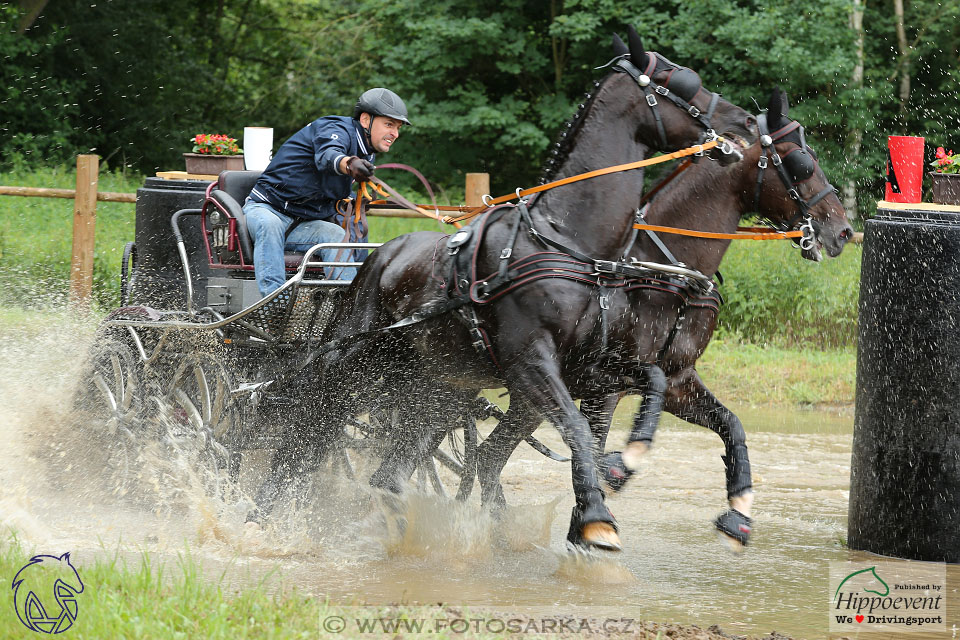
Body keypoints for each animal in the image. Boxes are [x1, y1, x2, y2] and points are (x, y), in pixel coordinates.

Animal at [251, 27, 760, 552]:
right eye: (681, 80)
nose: (745, 122)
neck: (566, 238)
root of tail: (377, 258)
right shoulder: (533, 361)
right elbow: (577, 428)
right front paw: (599, 516)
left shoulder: (593, 366)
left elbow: (647, 390)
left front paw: (618, 475)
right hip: (355, 362)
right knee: (314, 417)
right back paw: (266, 509)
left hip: (426, 385)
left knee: (384, 466)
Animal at [472, 87, 856, 552]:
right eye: (802, 162)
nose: (842, 230)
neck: (667, 270)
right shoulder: (609, 381)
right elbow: (598, 446)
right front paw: (614, 478)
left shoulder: (676, 377)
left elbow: (731, 424)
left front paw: (738, 511)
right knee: (483, 454)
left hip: (531, 395)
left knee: (488, 457)